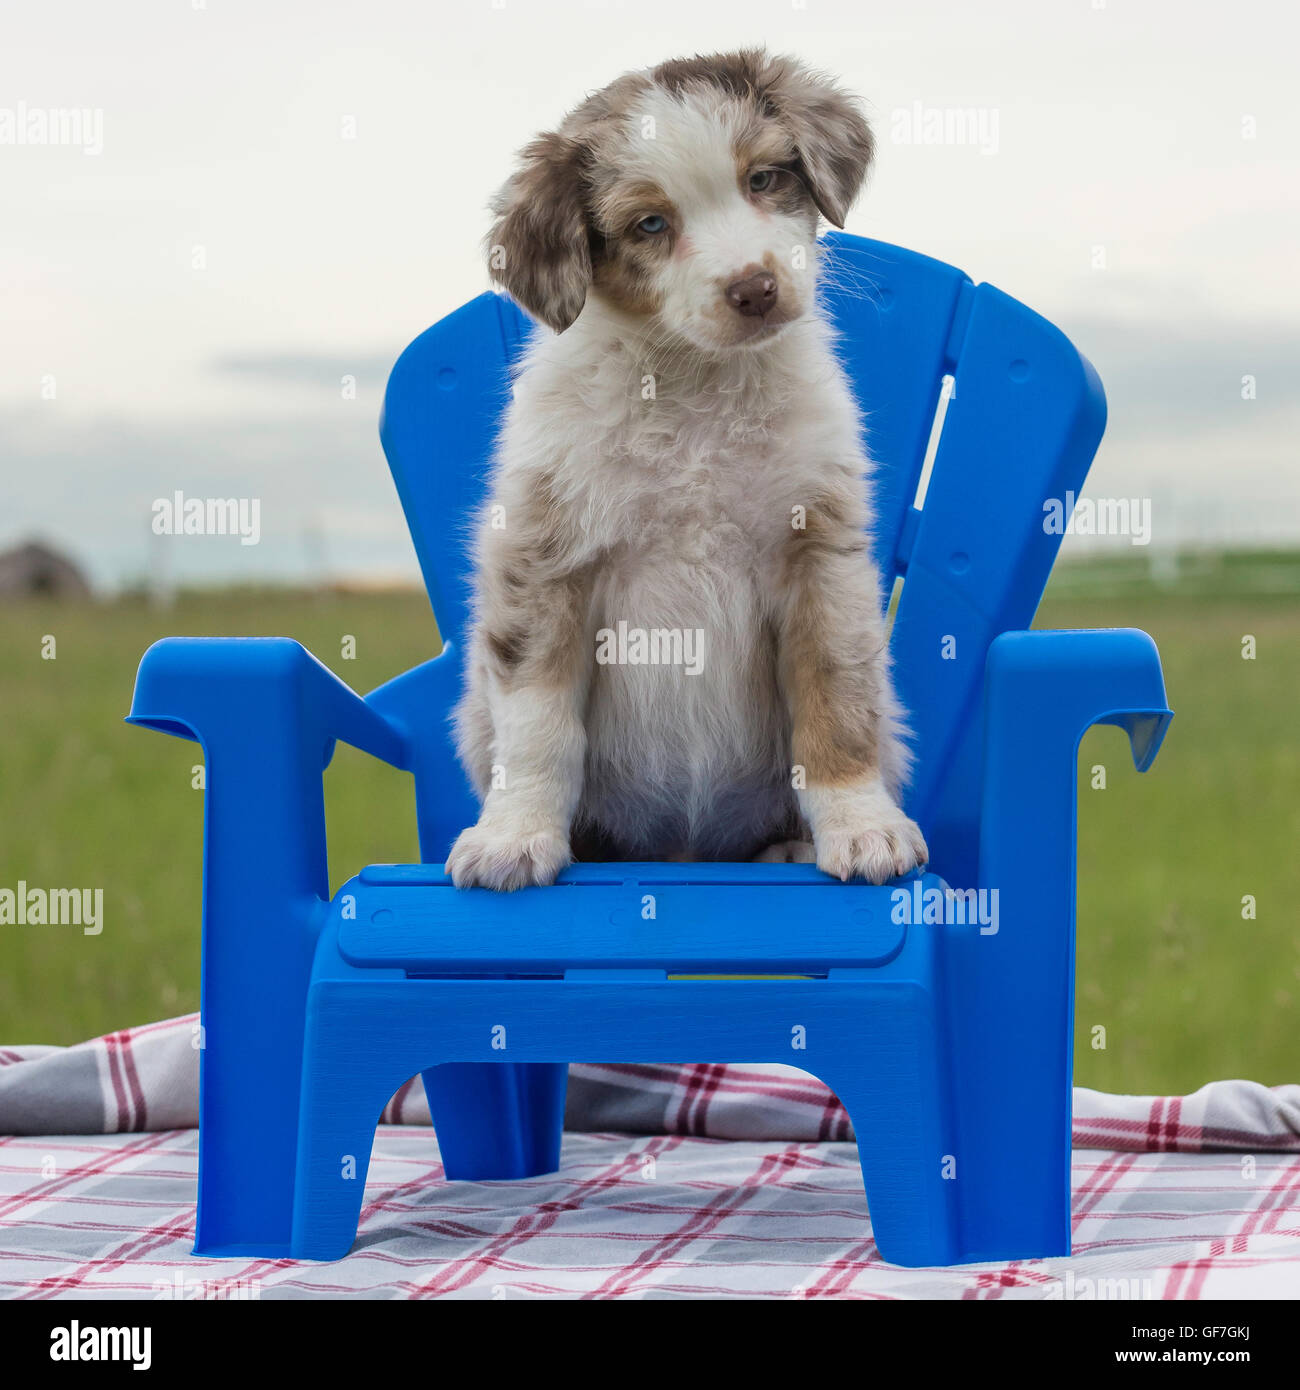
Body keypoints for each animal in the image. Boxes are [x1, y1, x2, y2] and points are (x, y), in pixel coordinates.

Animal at [447, 48, 923, 889]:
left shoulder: (818, 550)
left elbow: (837, 699)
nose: (755, 289)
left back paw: (789, 845)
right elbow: (536, 723)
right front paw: (513, 837)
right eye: (650, 224)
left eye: (763, 178)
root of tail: (685, 853)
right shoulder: (546, 558)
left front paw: (864, 829)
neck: (696, 386)